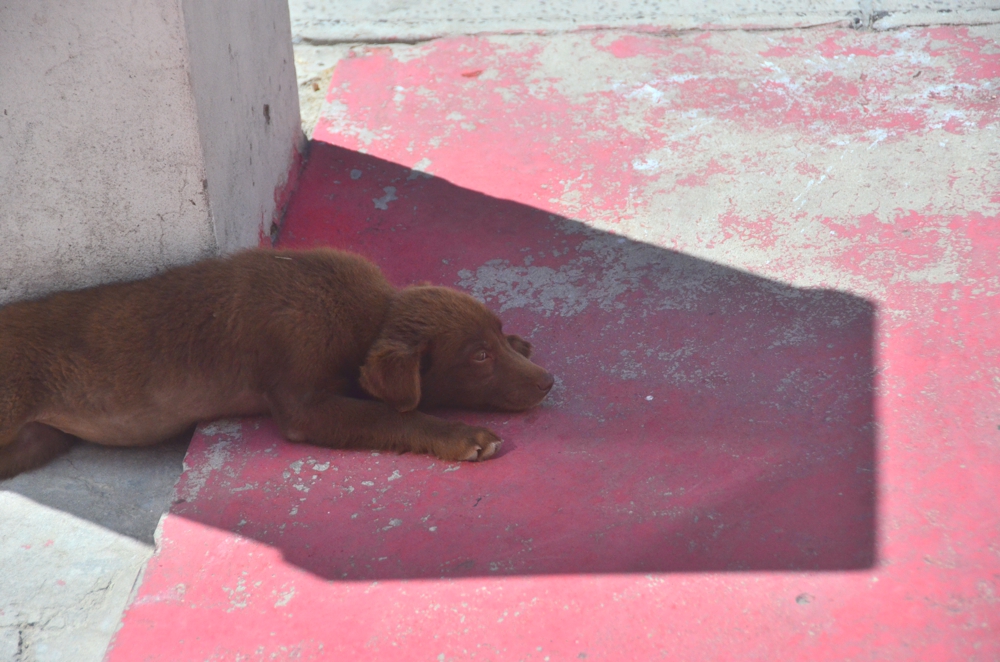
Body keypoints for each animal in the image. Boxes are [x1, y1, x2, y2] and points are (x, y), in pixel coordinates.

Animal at [0, 248, 556, 478]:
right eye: (478, 356)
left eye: (496, 336)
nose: (549, 383)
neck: (367, 318)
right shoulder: (302, 401)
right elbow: (391, 414)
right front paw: (462, 437)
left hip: (38, 441)